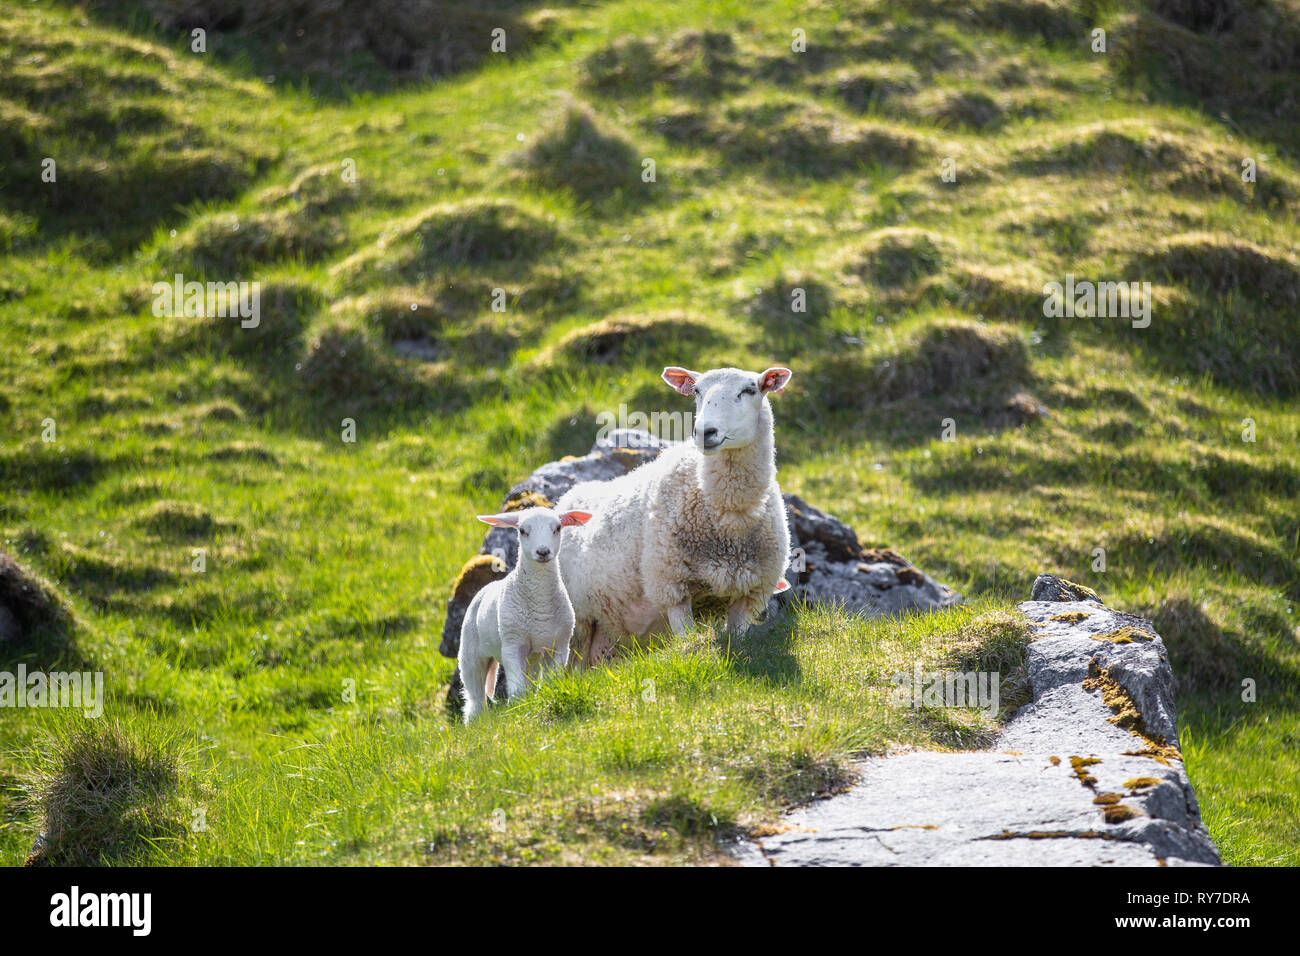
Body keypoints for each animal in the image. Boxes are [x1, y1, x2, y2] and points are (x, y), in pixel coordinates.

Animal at [458, 506, 592, 723]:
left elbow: (551, 682)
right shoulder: (513, 644)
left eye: (557, 528)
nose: (543, 551)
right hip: (470, 654)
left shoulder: (560, 645)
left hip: (533, 658)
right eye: (522, 531)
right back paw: (475, 722)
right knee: (475, 699)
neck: (540, 601)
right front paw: (518, 709)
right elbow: (518, 691)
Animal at [556, 365, 793, 665]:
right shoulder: (671, 584)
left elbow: (736, 639)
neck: (729, 517)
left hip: (606, 636)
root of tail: (567, 497)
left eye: (749, 390)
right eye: (697, 391)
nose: (704, 432)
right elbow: (687, 639)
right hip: (577, 621)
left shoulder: (749, 591)